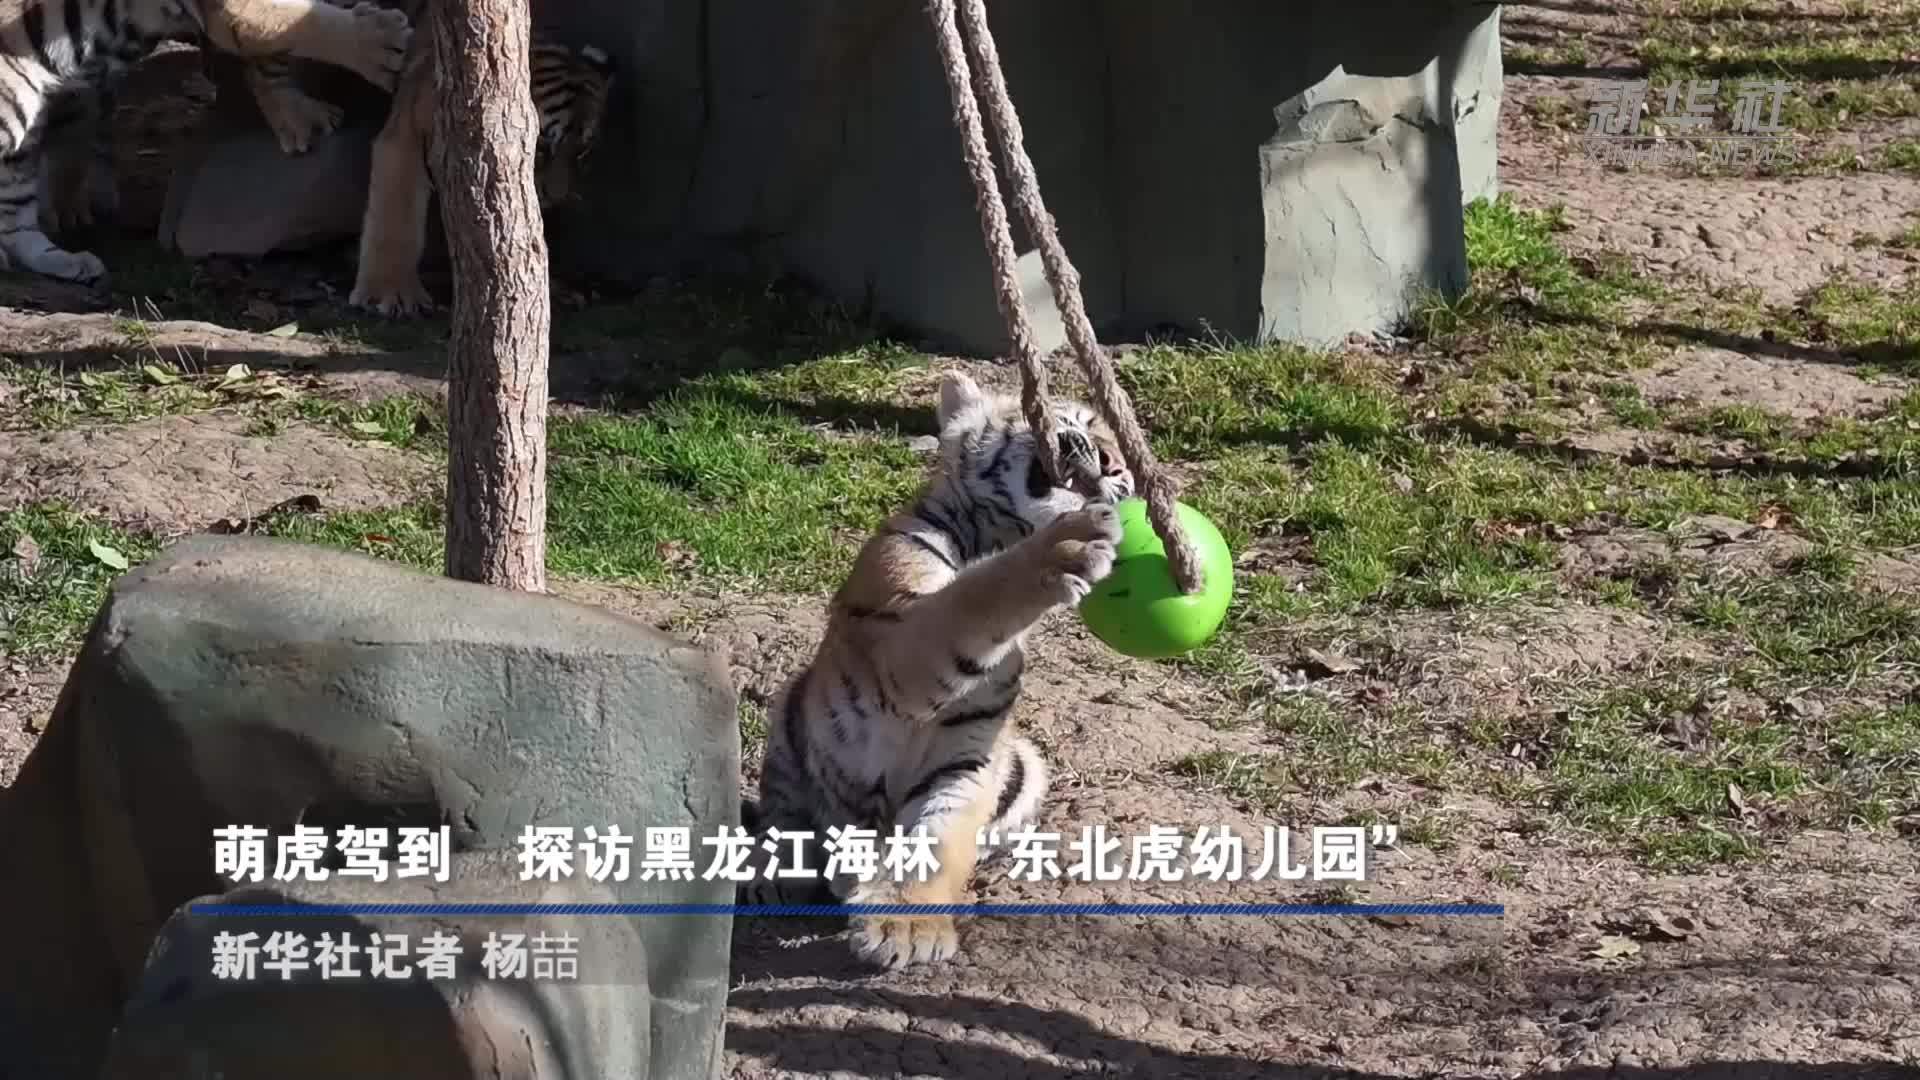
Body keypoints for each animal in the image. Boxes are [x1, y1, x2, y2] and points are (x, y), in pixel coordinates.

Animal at [6, 0, 413, 285]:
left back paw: (67, 260)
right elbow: (297, 21)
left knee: (17, 222)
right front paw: (381, 41)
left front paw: (296, 116)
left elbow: (271, 46)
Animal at [233, 0, 615, 317]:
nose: (556, 197)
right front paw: (391, 294)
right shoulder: (406, 134)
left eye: (582, 151)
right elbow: (396, 214)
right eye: (541, 147)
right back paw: (297, 120)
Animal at [741, 371, 1136, 969]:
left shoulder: (967, 755)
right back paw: (777, 875)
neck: (997, 535)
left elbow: (942, 838)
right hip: (791, 714)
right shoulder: (900, 633)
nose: (1116, 466)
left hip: (1025, 767)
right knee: (782, 816)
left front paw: (908, 926)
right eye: (1080, 420)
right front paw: (1067, 546)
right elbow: (972, 596)